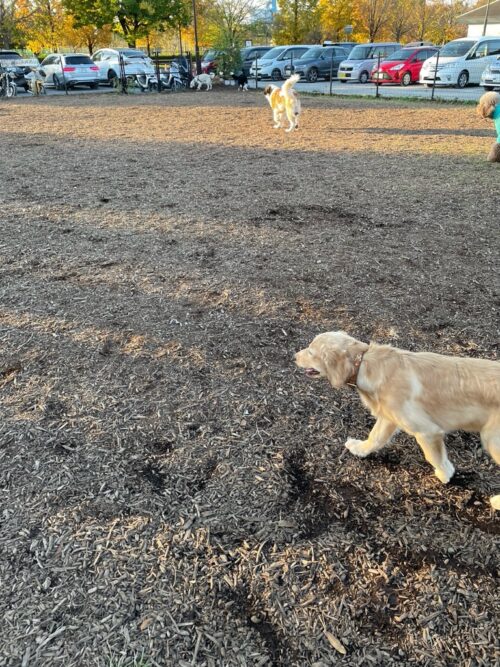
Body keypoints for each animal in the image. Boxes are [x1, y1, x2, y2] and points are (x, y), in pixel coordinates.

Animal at [292, 334, 500, 512]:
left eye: (311, 352)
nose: (294, 357)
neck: (364, 363)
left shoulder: (427, 431)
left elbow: (435, 458)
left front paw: (445, 474)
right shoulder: (388, 418)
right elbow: (374, 438)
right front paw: (360, 449)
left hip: (492, 440)